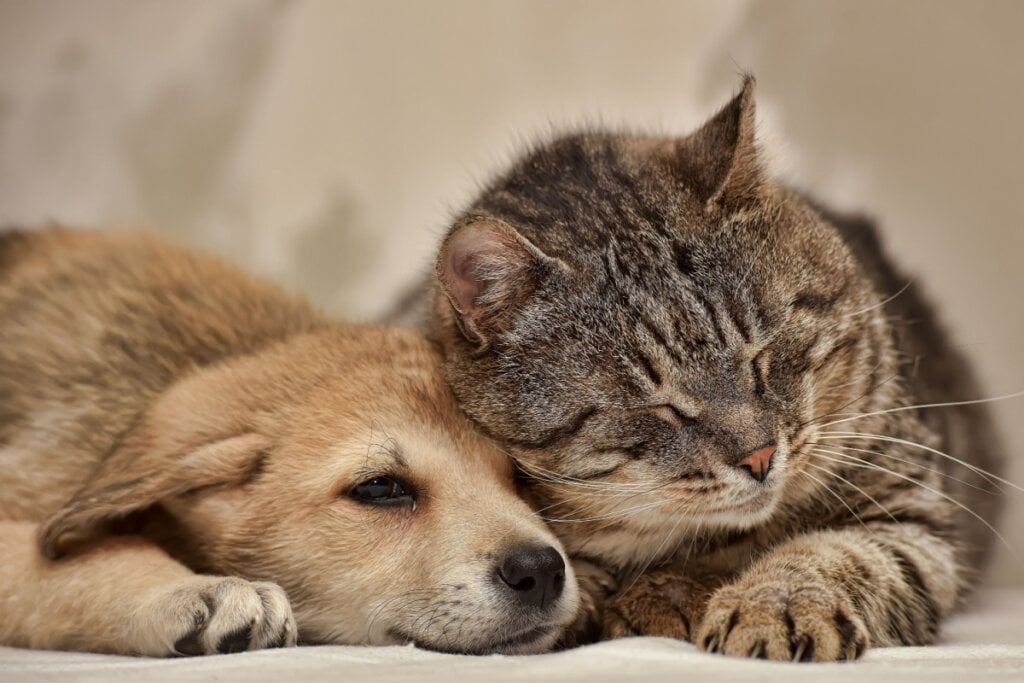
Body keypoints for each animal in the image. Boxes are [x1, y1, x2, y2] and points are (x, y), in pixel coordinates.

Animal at [417, 76, 1007, 663]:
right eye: (662, 407)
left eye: (760, 357)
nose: (760, 457)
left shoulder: (910, 511)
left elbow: (834, 554)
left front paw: (770, 604)